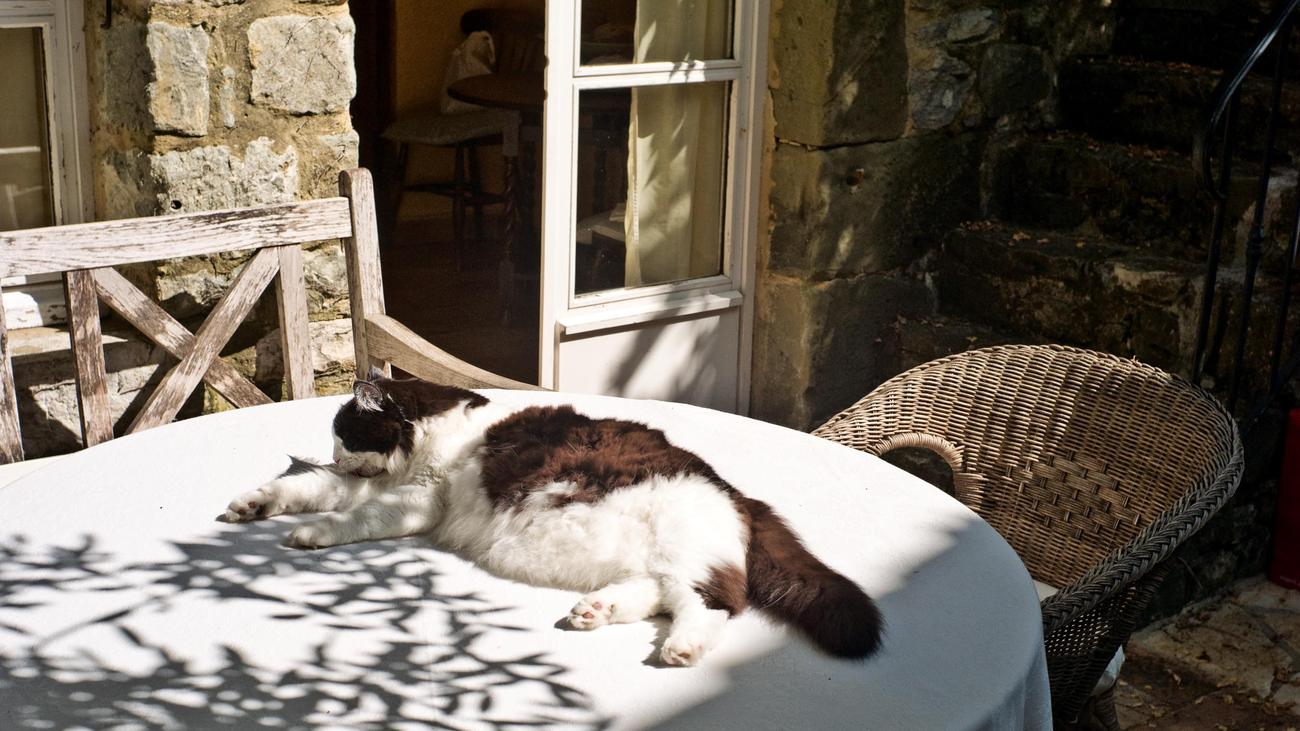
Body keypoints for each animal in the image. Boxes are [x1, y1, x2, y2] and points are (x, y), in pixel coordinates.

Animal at [223, 374, 883, 666]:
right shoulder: (372, 483)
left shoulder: (413, 500)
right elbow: (304, 487)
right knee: (656, 595)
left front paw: (311, 533)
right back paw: (596, 611)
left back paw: (682, 648)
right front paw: (253, 504)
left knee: (715, 604)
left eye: (346, 433)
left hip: (686, 549)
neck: (436, 428)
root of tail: (741, 496)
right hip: (657, 562)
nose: (336, 455)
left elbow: (349, 516)